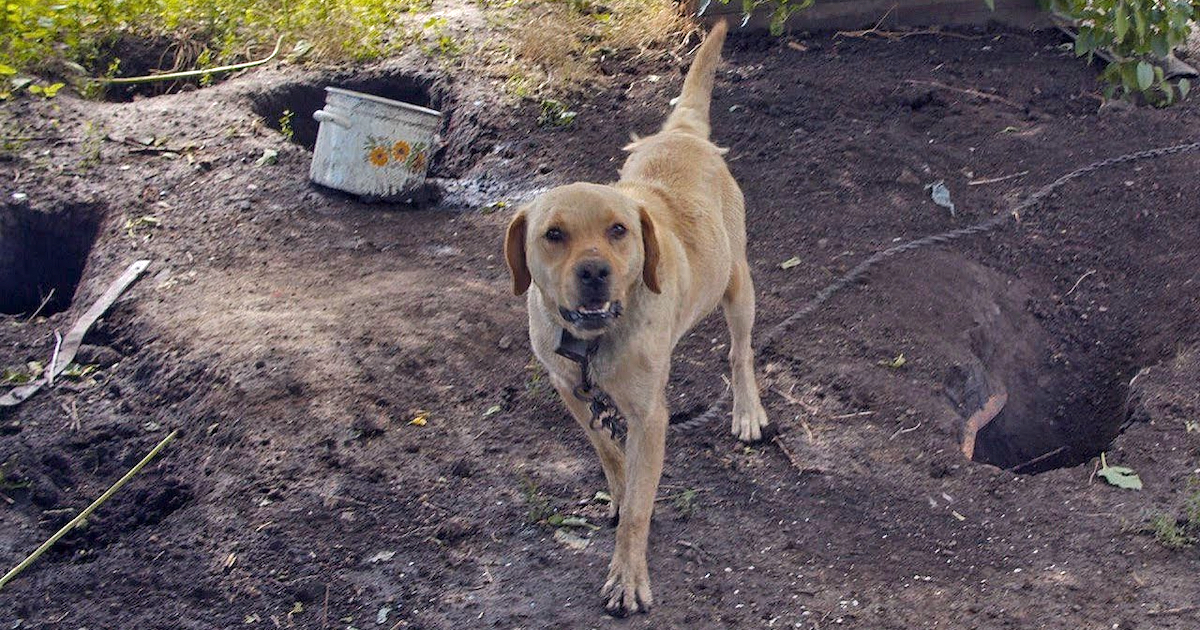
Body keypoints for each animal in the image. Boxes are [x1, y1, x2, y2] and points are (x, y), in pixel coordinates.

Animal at [504, 20, 768, 614]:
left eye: (618, 230)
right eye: (554, 234)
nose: (595, 271)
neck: (594, 339)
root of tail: (685, 133)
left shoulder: (650, 417)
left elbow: (641, 510)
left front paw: (628, 575)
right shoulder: (571, 391)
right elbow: (609, 451)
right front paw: (621, 489)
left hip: (738, 284)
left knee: (740, 352)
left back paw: (747, 410)